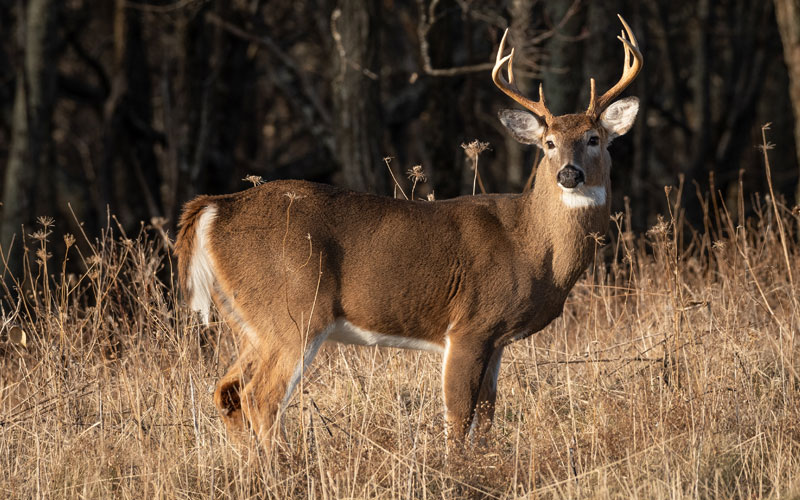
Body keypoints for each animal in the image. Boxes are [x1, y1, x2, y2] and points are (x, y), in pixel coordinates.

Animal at [175, 15, 644, 450]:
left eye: (594, 138)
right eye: (548, 143)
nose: (569, 174)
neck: (530, 245)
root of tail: (215, 207)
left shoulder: (497, 339)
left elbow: (487, 416)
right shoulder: (469, 325)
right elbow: (458, 418)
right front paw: (456, 471)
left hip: (248, 320)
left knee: (227, 392)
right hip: (292, 310)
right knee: (262, 397)